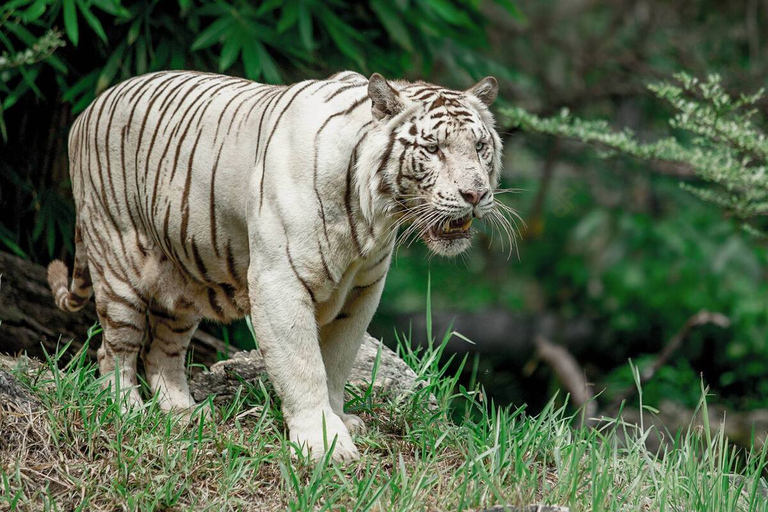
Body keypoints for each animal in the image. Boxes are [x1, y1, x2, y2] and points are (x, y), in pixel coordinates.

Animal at [46, 70, 504, 462]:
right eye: (433, 148)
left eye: (480, 147)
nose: (476, 194)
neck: (370, 217)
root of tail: (87, 109)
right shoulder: (278, 282)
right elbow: (303, 367)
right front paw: (325, 443)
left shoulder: (362, 292)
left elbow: (337, 363)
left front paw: (341, 421)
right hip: (117, 264)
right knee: (114, 351)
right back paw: (127, 410)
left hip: (182, 279)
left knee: (163, 350)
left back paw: (183, 411)